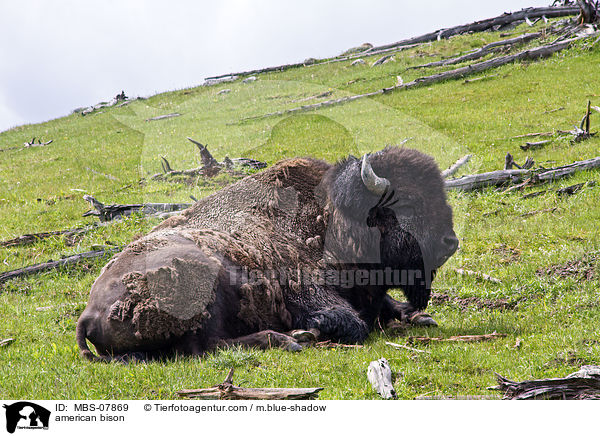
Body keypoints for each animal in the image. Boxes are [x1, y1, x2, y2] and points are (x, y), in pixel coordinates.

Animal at [76, 147, 460, 362]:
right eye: (406, 204)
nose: (450, 242)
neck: (329, 219)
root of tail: (88, 312)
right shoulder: (311, 295)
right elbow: (352, 323)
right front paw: (314, 329)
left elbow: (392, 308)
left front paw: (421, 317)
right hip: (200, 283)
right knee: (204, 347)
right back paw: (292, 339)